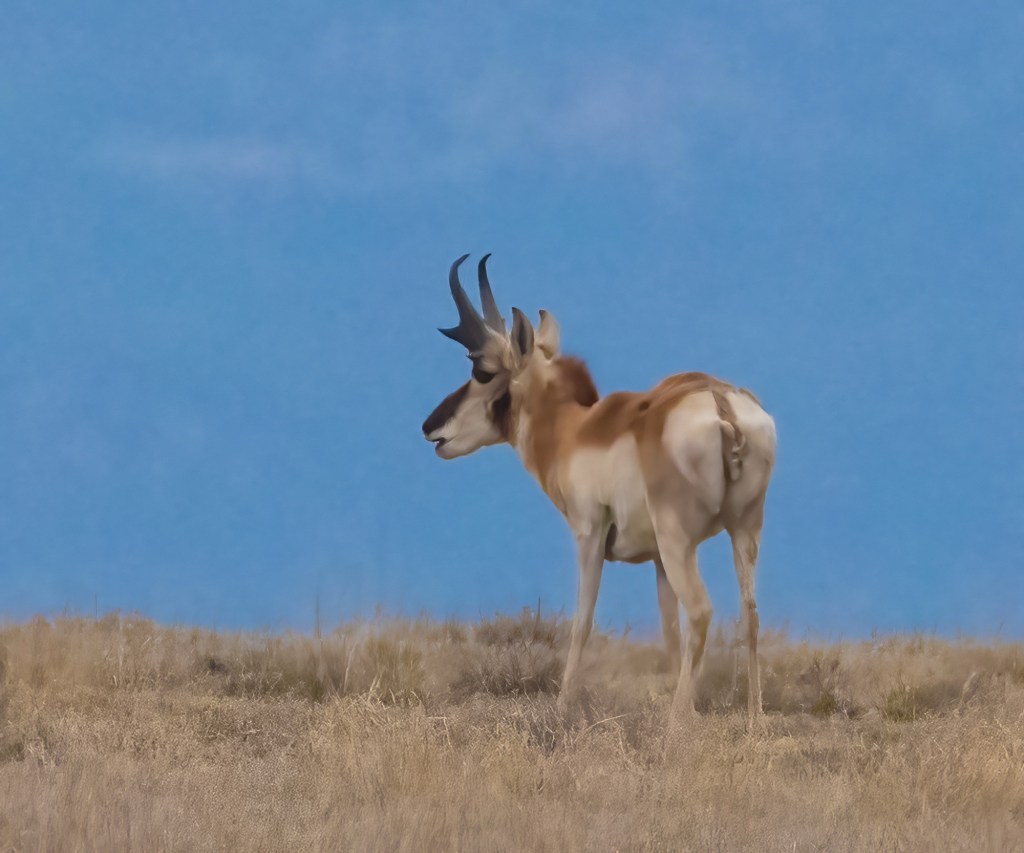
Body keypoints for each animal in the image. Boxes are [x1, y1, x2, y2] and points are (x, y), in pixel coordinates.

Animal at [422, 254, 777, 719]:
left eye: (481, 371)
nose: (430, 427)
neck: (577, 428)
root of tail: (720, 402)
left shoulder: (589, 535)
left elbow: (582, 620)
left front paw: (563, 705)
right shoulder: (657, 561)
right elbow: (669, 632)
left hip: (680, 541)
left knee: (702, 611)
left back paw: (676, 724)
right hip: (743, 531)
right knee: (749, 613)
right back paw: (754, 718)